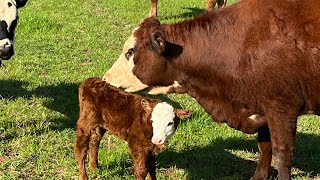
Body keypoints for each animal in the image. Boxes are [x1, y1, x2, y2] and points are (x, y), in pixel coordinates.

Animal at [102, 0, 320, 179]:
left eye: (130, 52)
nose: (105, 78)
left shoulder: (281, 109)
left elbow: (282, 155)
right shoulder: (262, 107)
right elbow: (264, 146)